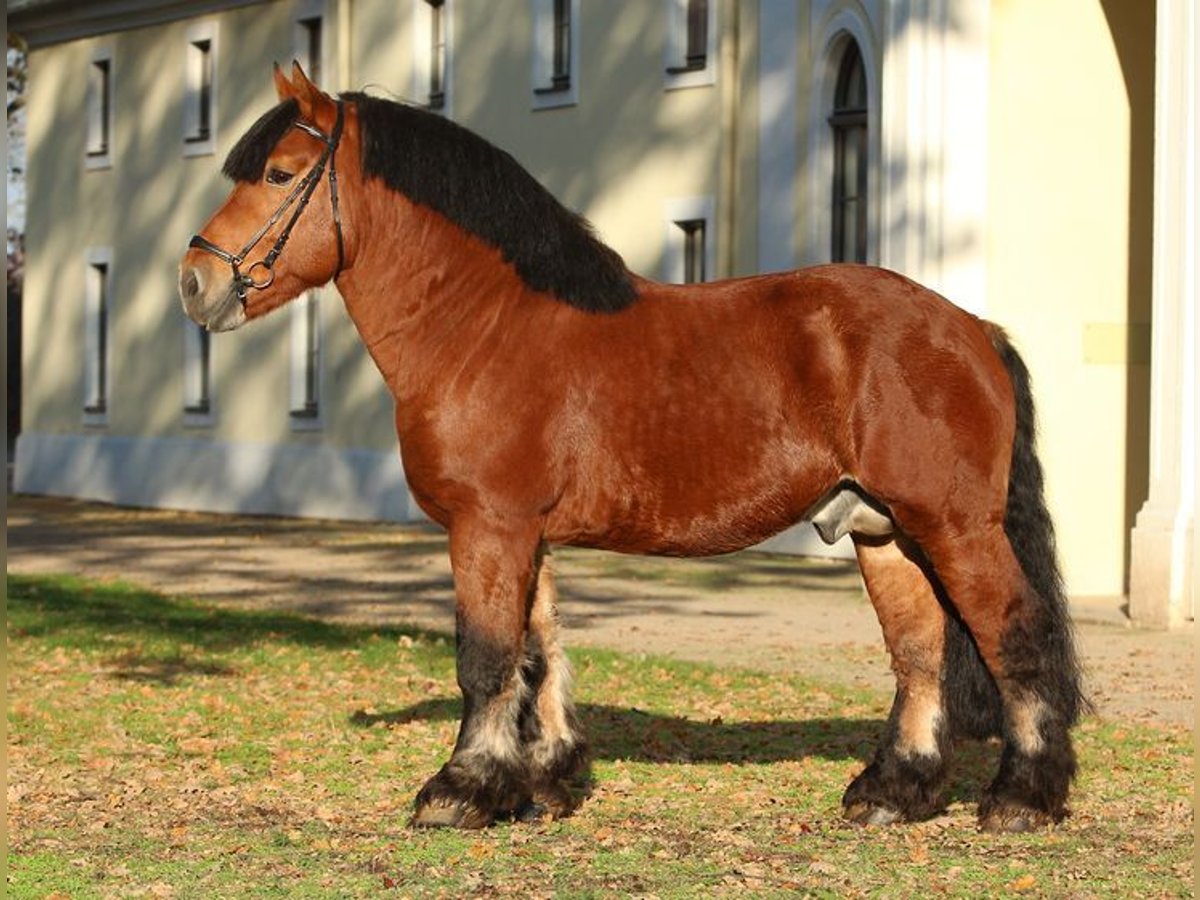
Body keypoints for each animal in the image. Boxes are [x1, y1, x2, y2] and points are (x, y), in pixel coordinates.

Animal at [180, 65, 1089, 840]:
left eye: (278, 173)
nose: (195, 282)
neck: (483, 327)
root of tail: (971, 328)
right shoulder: (523, 533)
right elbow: (538, 655)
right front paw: (541, 783)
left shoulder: (486, 527)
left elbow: (485, 658)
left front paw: (461, 789)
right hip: (884, 529)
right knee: (920, 655)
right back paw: (894, 791)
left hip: (953, 525)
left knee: (1014, 635)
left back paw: (1022, 798)